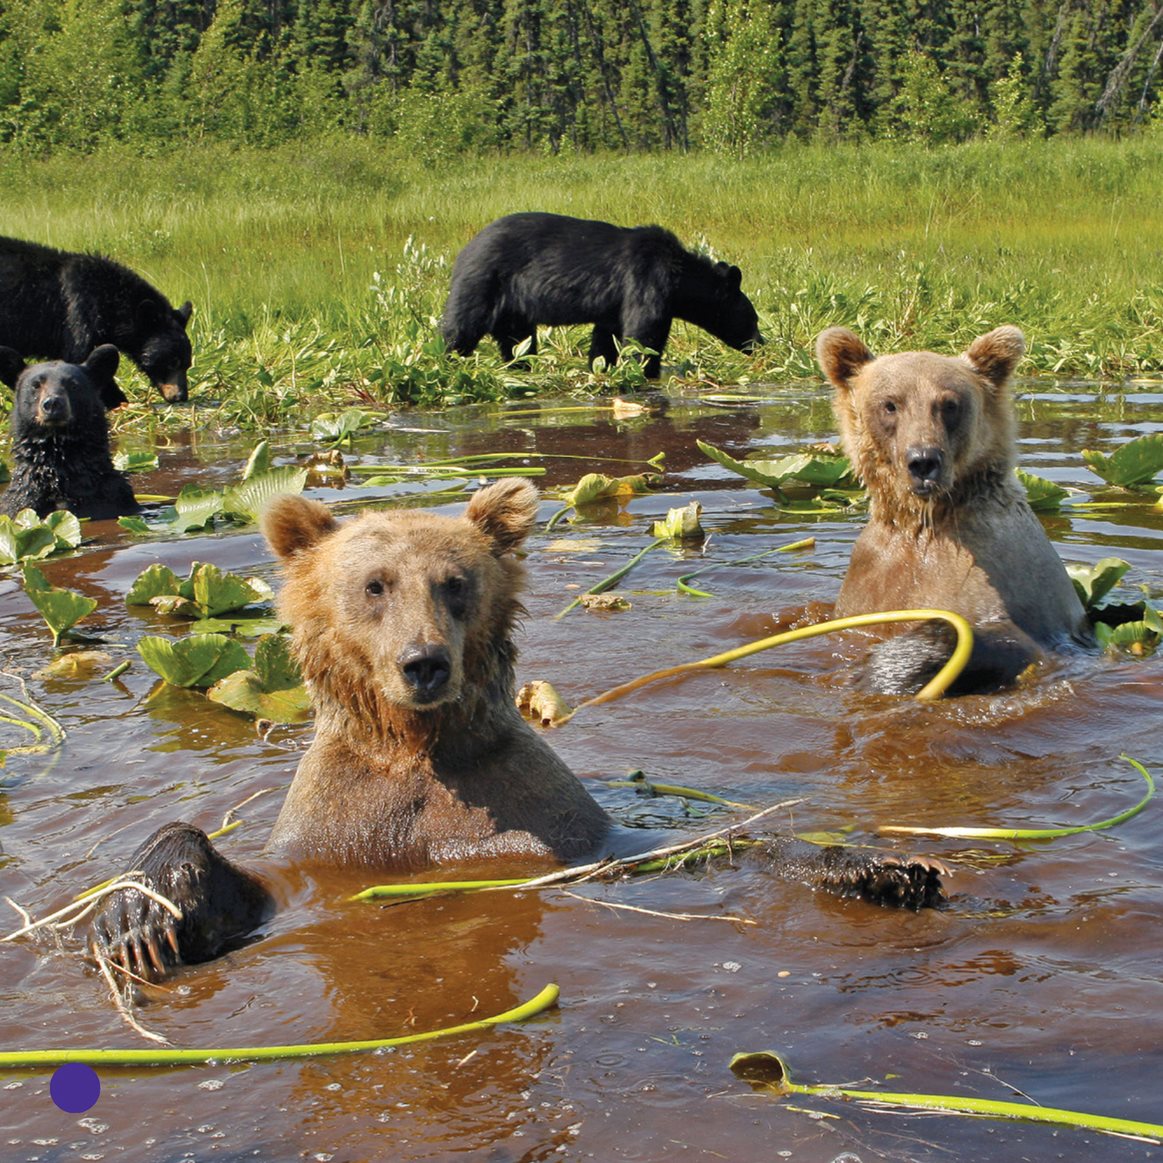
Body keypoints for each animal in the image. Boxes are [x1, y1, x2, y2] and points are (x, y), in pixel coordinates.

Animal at [0, 233, 193, 407]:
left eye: (187, 364)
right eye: (172, 362)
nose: (181, 396)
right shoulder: (78, 314)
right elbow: (81, 356)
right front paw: (118, 400)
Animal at [90, 481, 944, 981]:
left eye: (454, 582)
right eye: (374, 585)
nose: (424, 663)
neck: (418, 745)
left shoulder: (539, 819)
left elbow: (683, 849)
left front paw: (878, 866)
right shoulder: (335, 831)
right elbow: (251, 887)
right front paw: (141, 915)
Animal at [441, 208, 762, 372]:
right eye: (754, 318)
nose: (761, 343)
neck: (680, 276)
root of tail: (466, 249)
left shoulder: (614, 306)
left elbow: (606, 338)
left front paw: (602, 367)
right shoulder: (647, 281)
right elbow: (644, 333)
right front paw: (646, 371)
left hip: (512, 308)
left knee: (517, 340)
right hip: (485, 282)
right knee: (461, 327)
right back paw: (446, 361)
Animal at [814, 323, 1093, 693]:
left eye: (949, 404)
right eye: (890, 404)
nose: (923, 461)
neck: (925, 519)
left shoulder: (991, 571)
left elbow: (981, 631)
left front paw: (883, 673)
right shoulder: (871, 581)